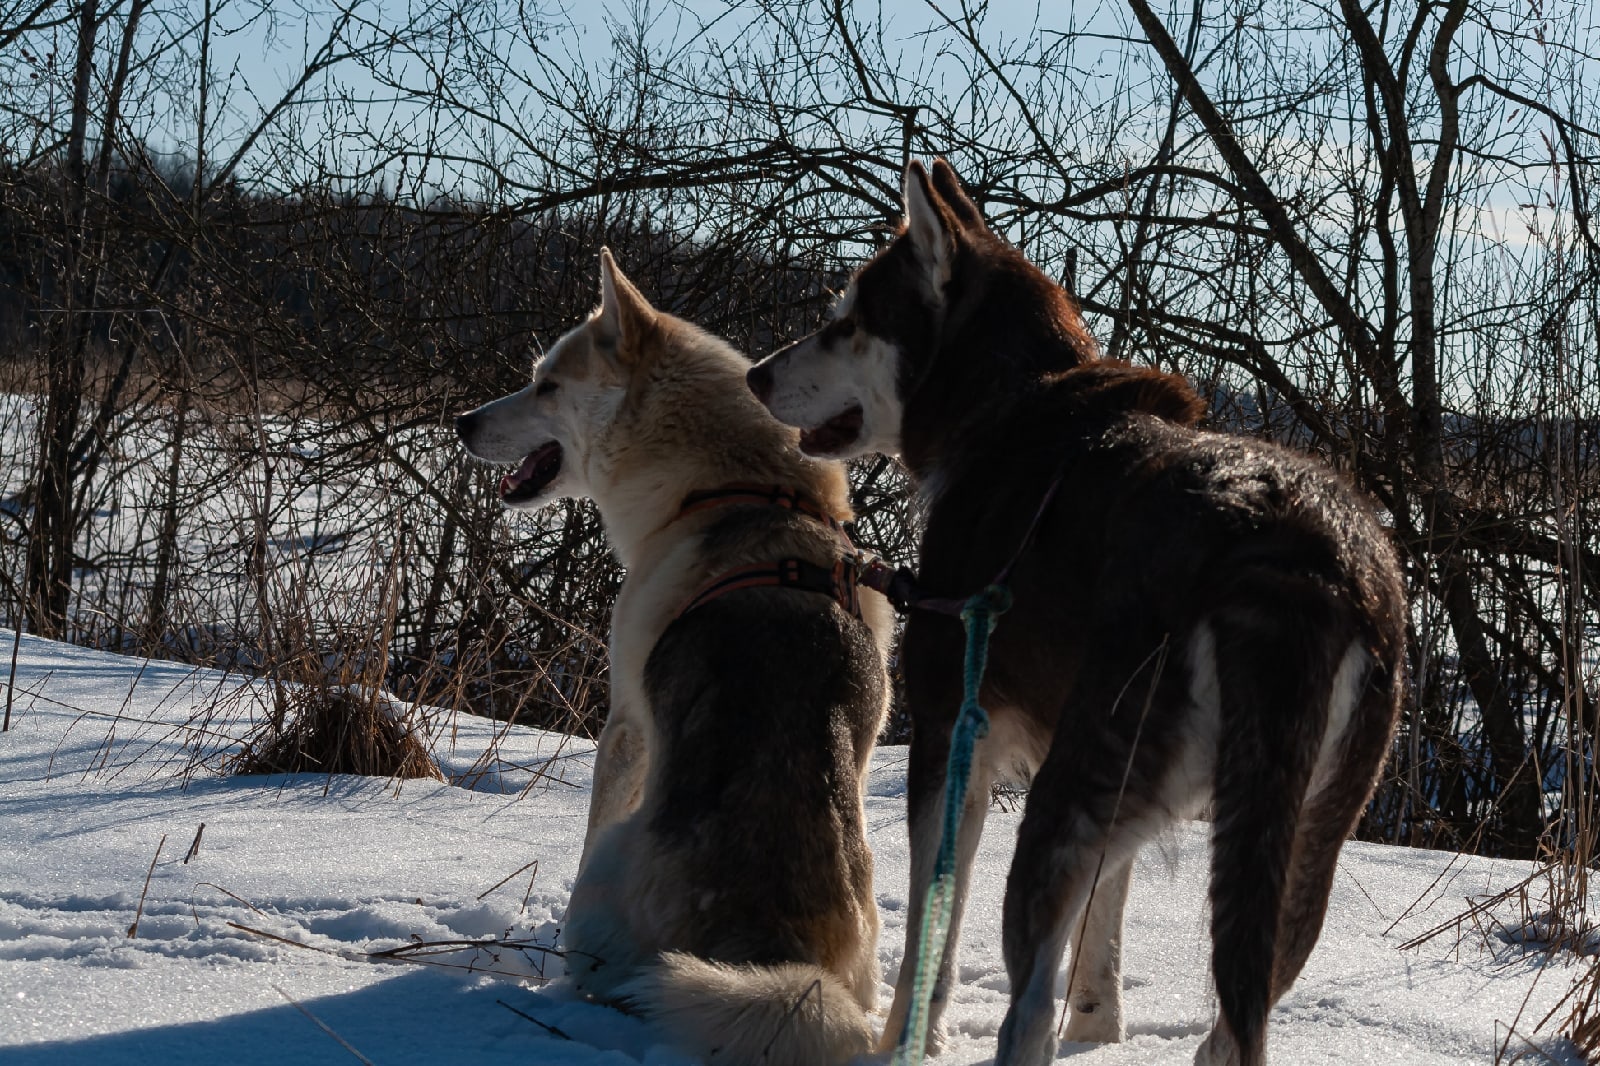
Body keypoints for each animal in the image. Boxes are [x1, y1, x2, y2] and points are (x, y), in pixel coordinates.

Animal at [457, 251, 896, 1062]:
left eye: (547, 385)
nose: (462, 422)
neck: (739, 487)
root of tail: (771, 955)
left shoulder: (625, 728)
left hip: (608, 872)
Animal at [742, 160, 1408, 1062]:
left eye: (850, 320)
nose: (756, 375)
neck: (1011, 405)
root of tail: (1303, 568)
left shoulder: (953, 735)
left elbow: (930, 937)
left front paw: (904, 1038)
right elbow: (1105, 930)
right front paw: (1098, 1025)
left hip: (1065, 804)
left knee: (1026, 1010)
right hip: (1295, 848)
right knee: (1234, 1022)